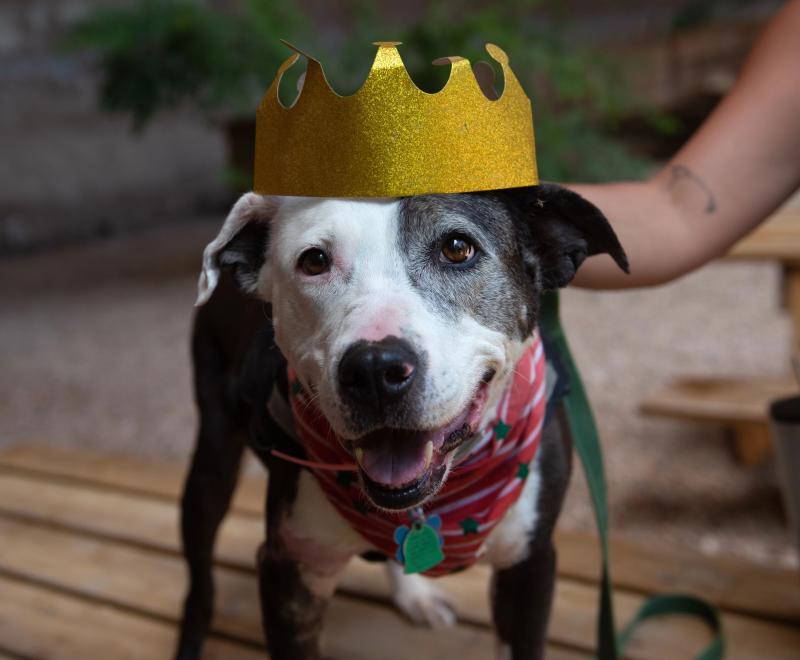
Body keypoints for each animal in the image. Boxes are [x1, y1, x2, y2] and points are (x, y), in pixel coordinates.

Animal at [173, 183, 624, 660]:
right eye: (313, 261)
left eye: (457, 248)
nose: (375, 369)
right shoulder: (290, 571)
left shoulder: (531, 565)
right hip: (212, 458)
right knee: (200, 579)